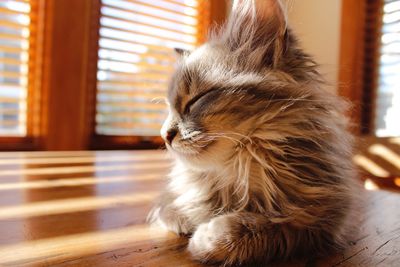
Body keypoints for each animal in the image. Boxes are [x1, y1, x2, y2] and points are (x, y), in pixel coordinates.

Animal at [148, 0, 356, 264]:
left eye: (195, 100)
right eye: (169, 109)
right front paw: (185, 216)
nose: (164, 134)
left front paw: (207, 239)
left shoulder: (319, 220)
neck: (238, 169)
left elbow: (263, 227)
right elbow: (172, 204)